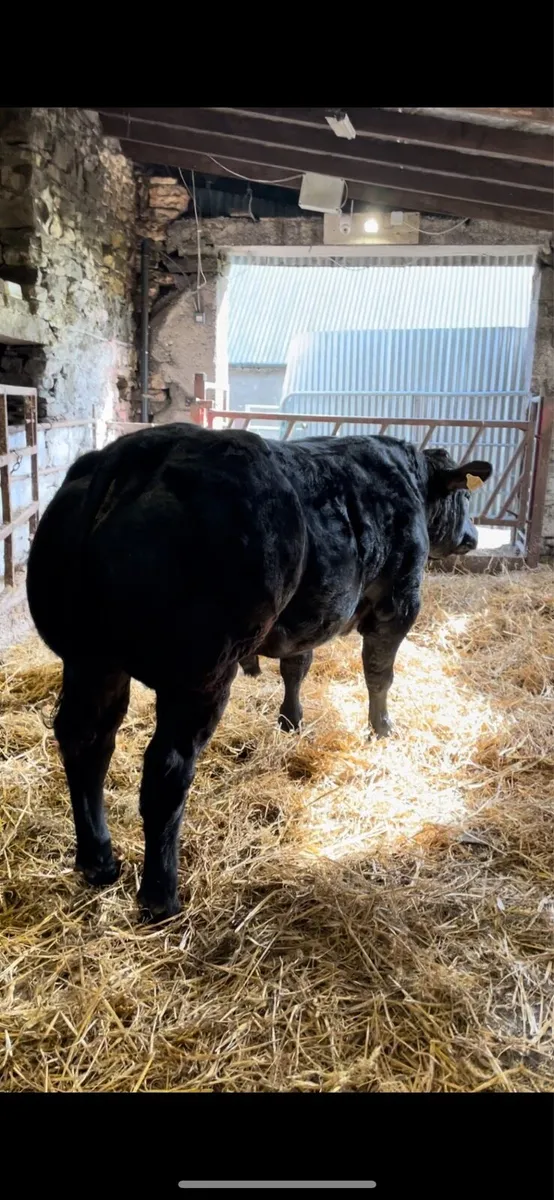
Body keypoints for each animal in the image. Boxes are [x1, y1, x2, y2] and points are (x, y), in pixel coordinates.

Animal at [26, 422, 492, 922]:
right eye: (464, 497)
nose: (473, 537)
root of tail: (146, 445)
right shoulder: (400, 600)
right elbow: (379, 673)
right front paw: (382, 728)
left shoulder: (309, 617)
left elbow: (296, 665)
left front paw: (291, 721)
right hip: (200, 675)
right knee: (166, 768)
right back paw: (161, 896)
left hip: (90, 659)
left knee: (86, 741)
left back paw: (98, 860)